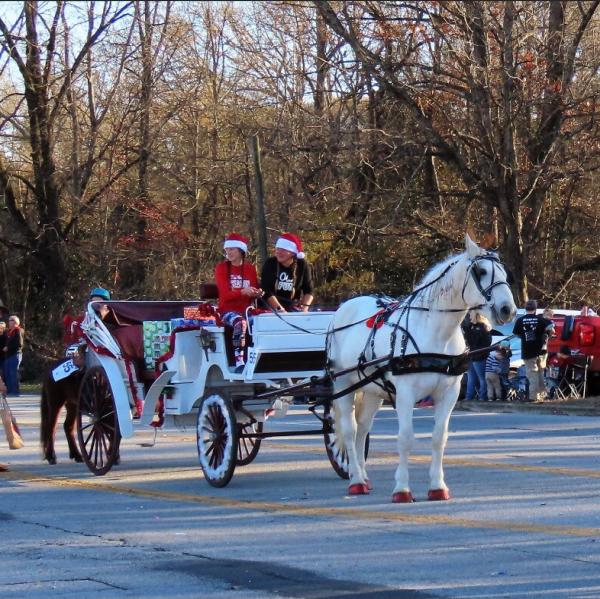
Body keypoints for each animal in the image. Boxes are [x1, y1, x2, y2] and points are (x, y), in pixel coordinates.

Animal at [326, 237, 516, 504]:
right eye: (481, 271)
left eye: (503, 273)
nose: (507, 309)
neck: (436, 333)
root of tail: (343, 308)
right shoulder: (406, 394)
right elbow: (406, 439)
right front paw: (402, 489)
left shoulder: (449, 393)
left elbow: (439, 438)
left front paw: (438, 487)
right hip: (343, 385)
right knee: (350, 430)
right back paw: (356, 482)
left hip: (373, 391)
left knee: (363, 429)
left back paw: (362, 476)